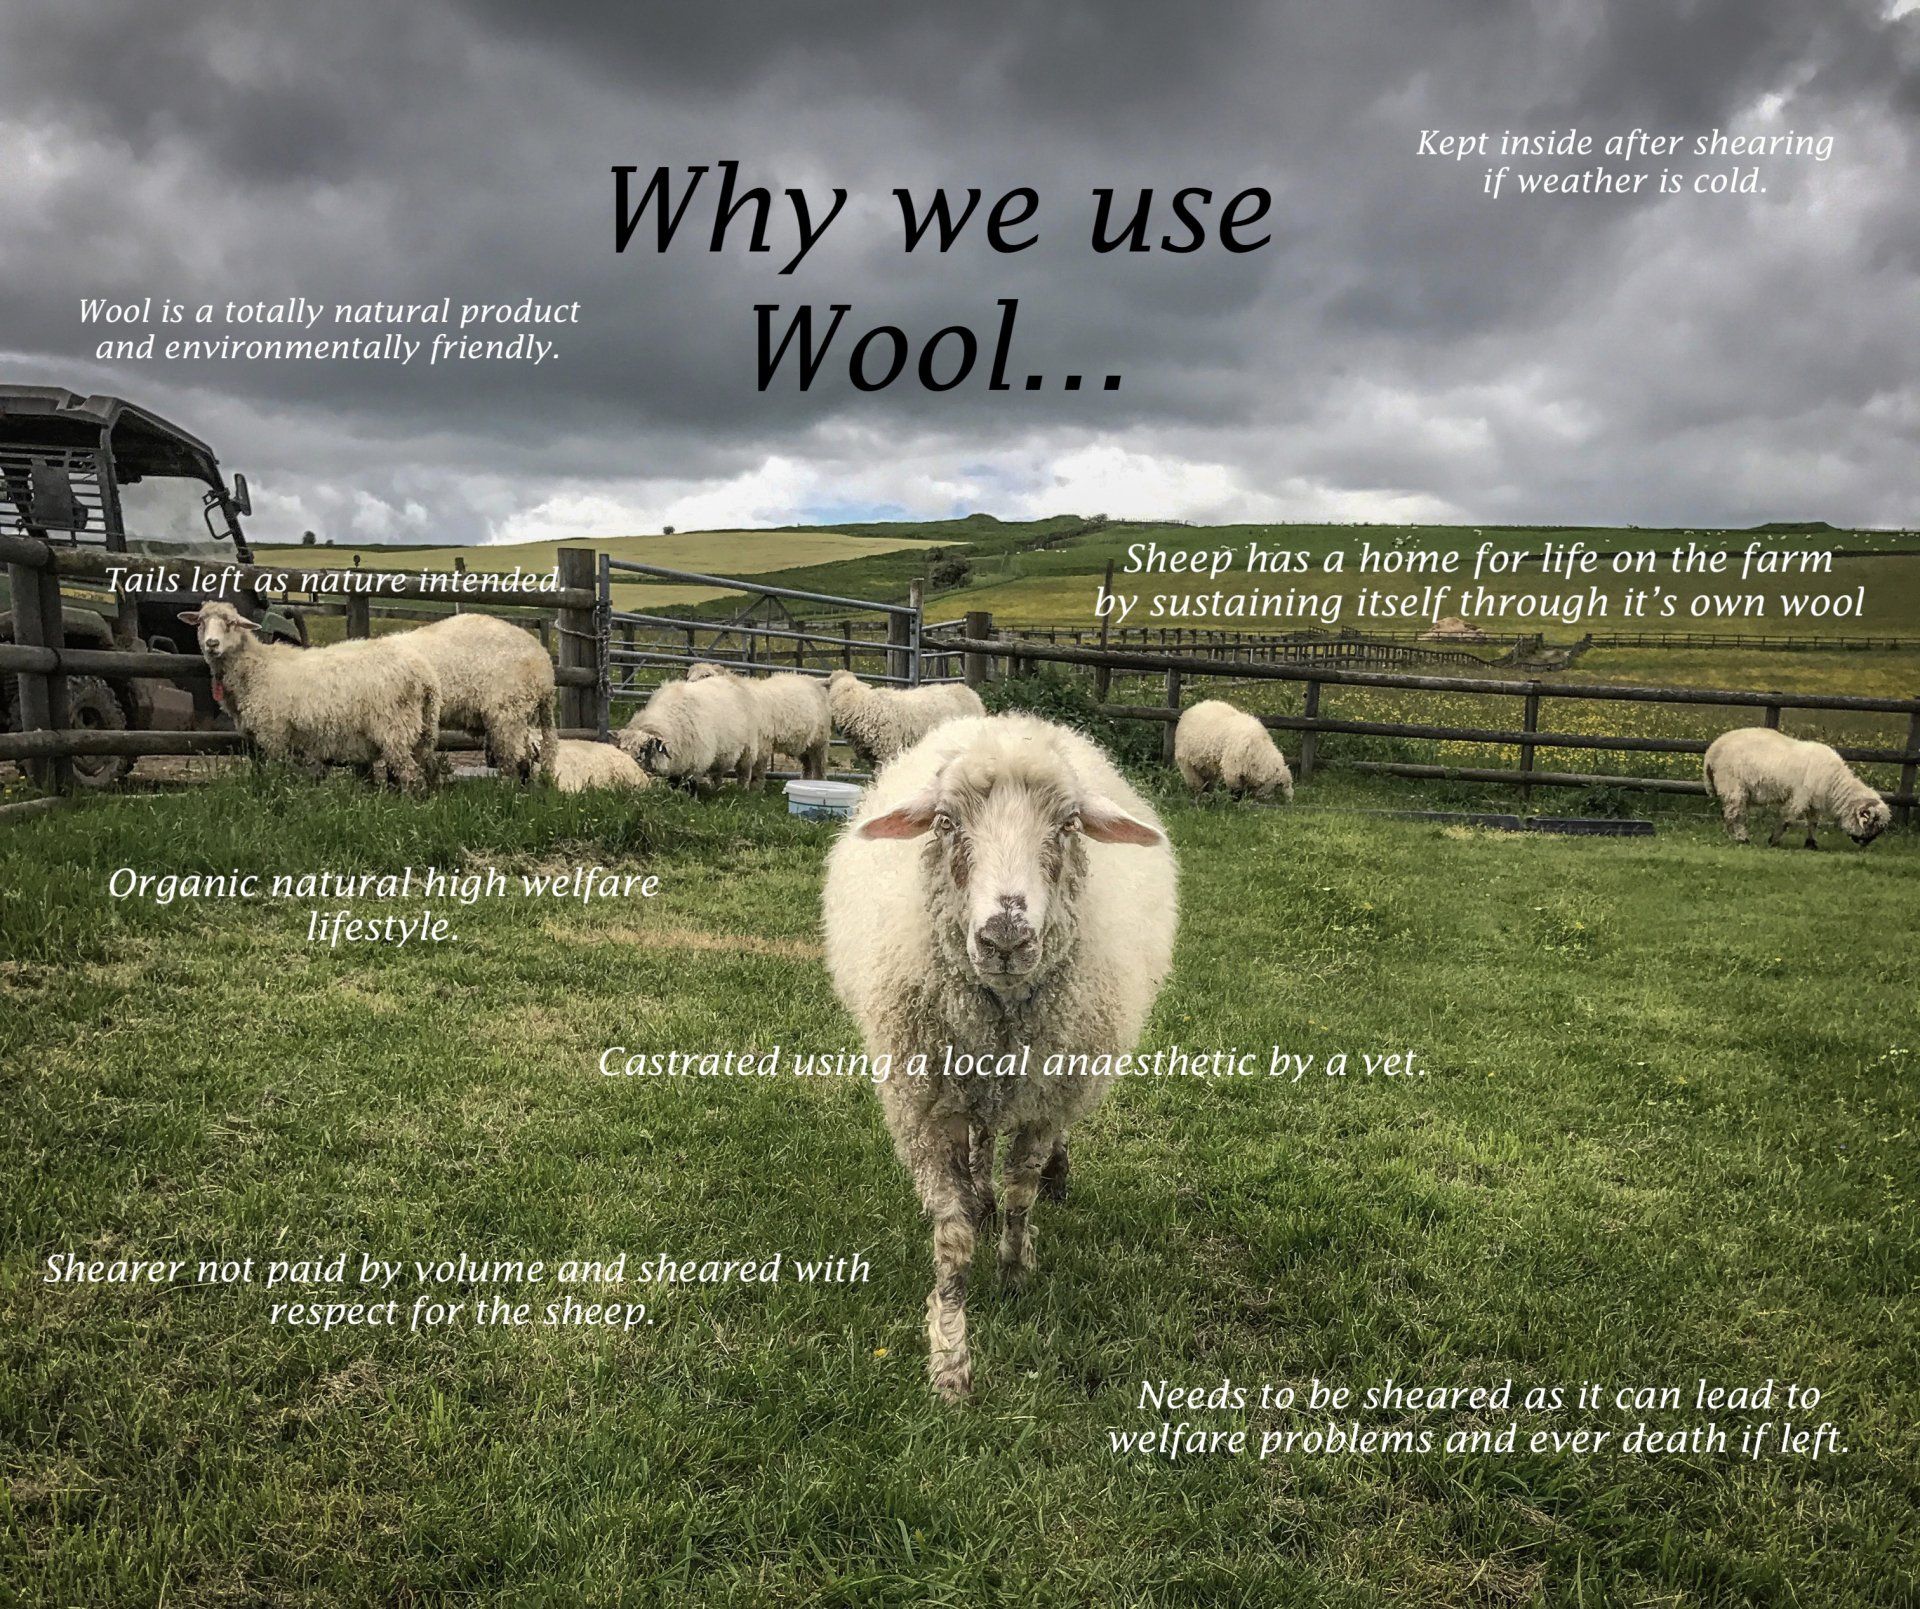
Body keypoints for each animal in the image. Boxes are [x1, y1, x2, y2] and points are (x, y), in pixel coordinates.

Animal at [178, 602, 439, 792]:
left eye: (231, 623)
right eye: (201, 622)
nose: (212, 644)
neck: (256, 667)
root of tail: (425, 675)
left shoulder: (273, 733)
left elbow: (277, 772)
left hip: (395, 728)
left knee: (412, 776)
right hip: (420, 731)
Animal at [616, 673, 761, 791]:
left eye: (643, 751)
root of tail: (733, 678)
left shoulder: (697, 762)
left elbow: (690, 785)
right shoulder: (678, 760)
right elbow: (674, 782)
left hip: (748, 749)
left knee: (744, 773)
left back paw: (742, 790)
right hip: (722, 754)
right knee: (717, 774)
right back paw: (716, 789)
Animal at [688, 663, 832, 780]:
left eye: (707, 675)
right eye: (688, 676)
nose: (689, 685)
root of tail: (813, 679)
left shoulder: (762, 743)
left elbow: (756, 771)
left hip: (820, 740)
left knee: (819, 767)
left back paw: (819, 781)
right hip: (805, 742)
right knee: (807, 765)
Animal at [822, 714, 1178, 1400]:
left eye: (1069, 823)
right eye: (945, 822)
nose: (1005, 938)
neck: (1003, 1014)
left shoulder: (1046, 1098)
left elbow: (1021, 1191)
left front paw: (1016, 1268)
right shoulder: (926, 1106)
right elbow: (954, 1229)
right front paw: (950, 1355)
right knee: (981, 1139)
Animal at [1703, 727, 1892, 849]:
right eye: (1873, 824)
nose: (1865, 844)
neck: (1835, 783)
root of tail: (1711, 751)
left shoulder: (1814, 801)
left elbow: (1813, 822)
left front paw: (1811, 844)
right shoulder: (1800, 796)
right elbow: (1787, 819)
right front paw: (1773, 841)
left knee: (1730, 813)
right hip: (1733, 786)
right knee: (1734, 814)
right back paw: (1741, 838)